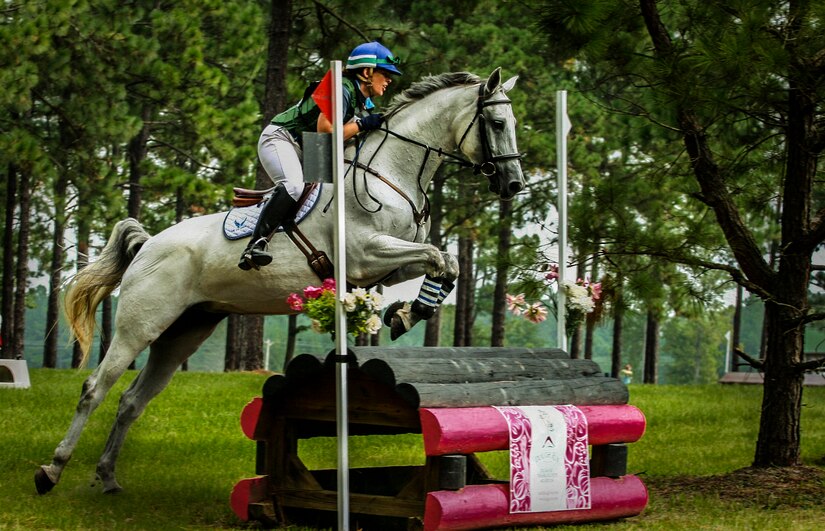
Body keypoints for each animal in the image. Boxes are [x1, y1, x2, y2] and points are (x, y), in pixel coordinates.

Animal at [35, 67, 520, 494]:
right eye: (497, 123)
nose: (514, 183)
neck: (392, 175)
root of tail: (150, 243)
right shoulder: (366, 253)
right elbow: (438, 256)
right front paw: (406, 313)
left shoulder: (389, 262)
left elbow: (445, 263)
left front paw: (406, 313)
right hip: (140, 326)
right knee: (94, 389)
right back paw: (51, 471)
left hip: (183, 332)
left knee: (132, 401)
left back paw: (107, 476)